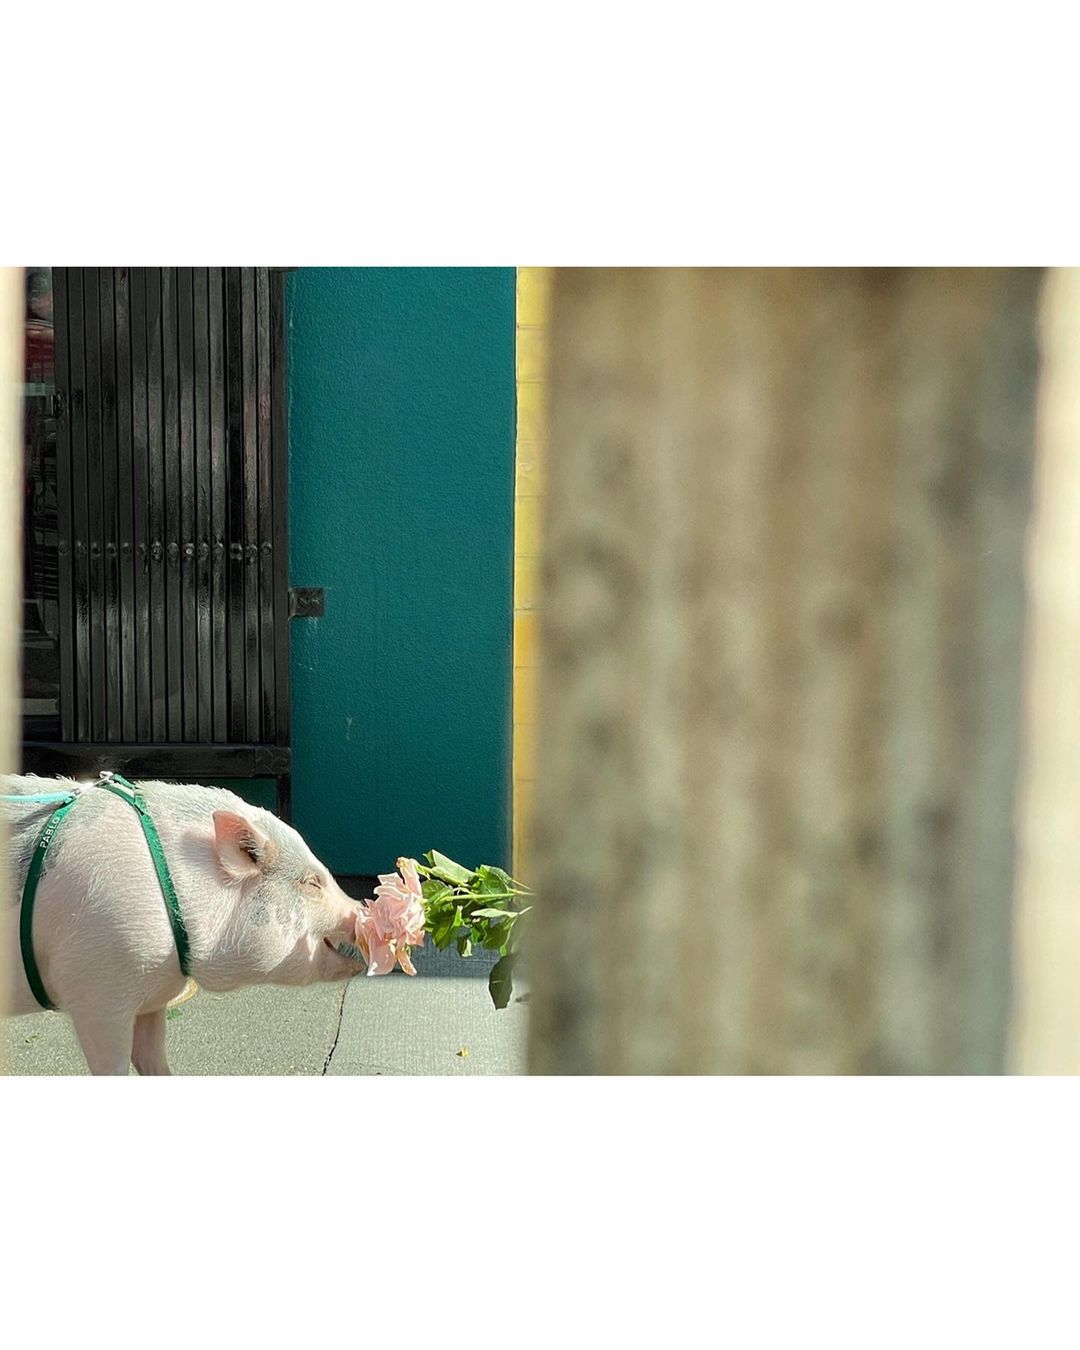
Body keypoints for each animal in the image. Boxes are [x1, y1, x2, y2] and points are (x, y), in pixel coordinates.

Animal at [1, 773, 368, 1074]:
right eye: (311, 882)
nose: (362, 910)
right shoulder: (95, 991)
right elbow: (113, 1067)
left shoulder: (151, 997)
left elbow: (153, 1060)